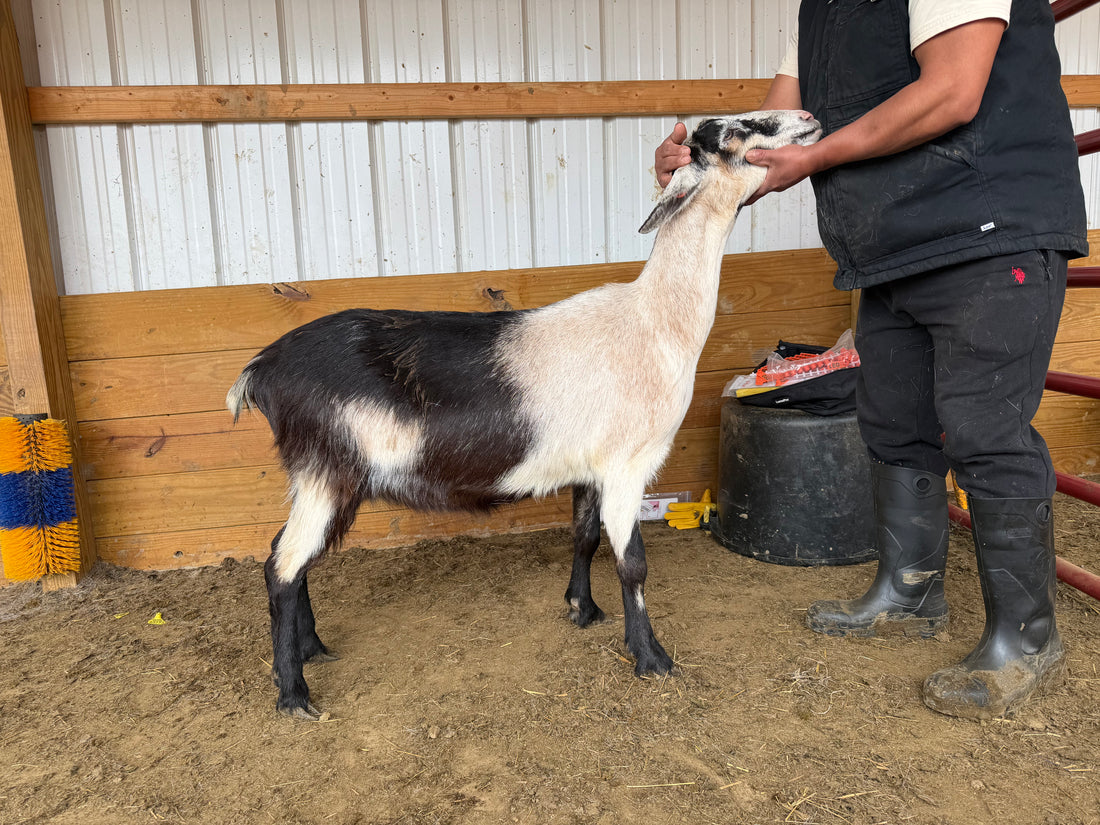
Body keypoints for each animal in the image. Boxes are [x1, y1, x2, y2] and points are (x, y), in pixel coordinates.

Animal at [227, 111, 822, 719]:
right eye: (732, 134)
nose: (807, 118)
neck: (655, 321)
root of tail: (262, 370)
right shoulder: (629, 464)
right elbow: (632, 561)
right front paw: (651, 657)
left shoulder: (590, 468)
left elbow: (584, 537)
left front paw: (583, 610)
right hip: (328, 471)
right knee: (283, 566)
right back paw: (293, 693)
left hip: (317, 477)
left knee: (285, 555)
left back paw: (312, 647)